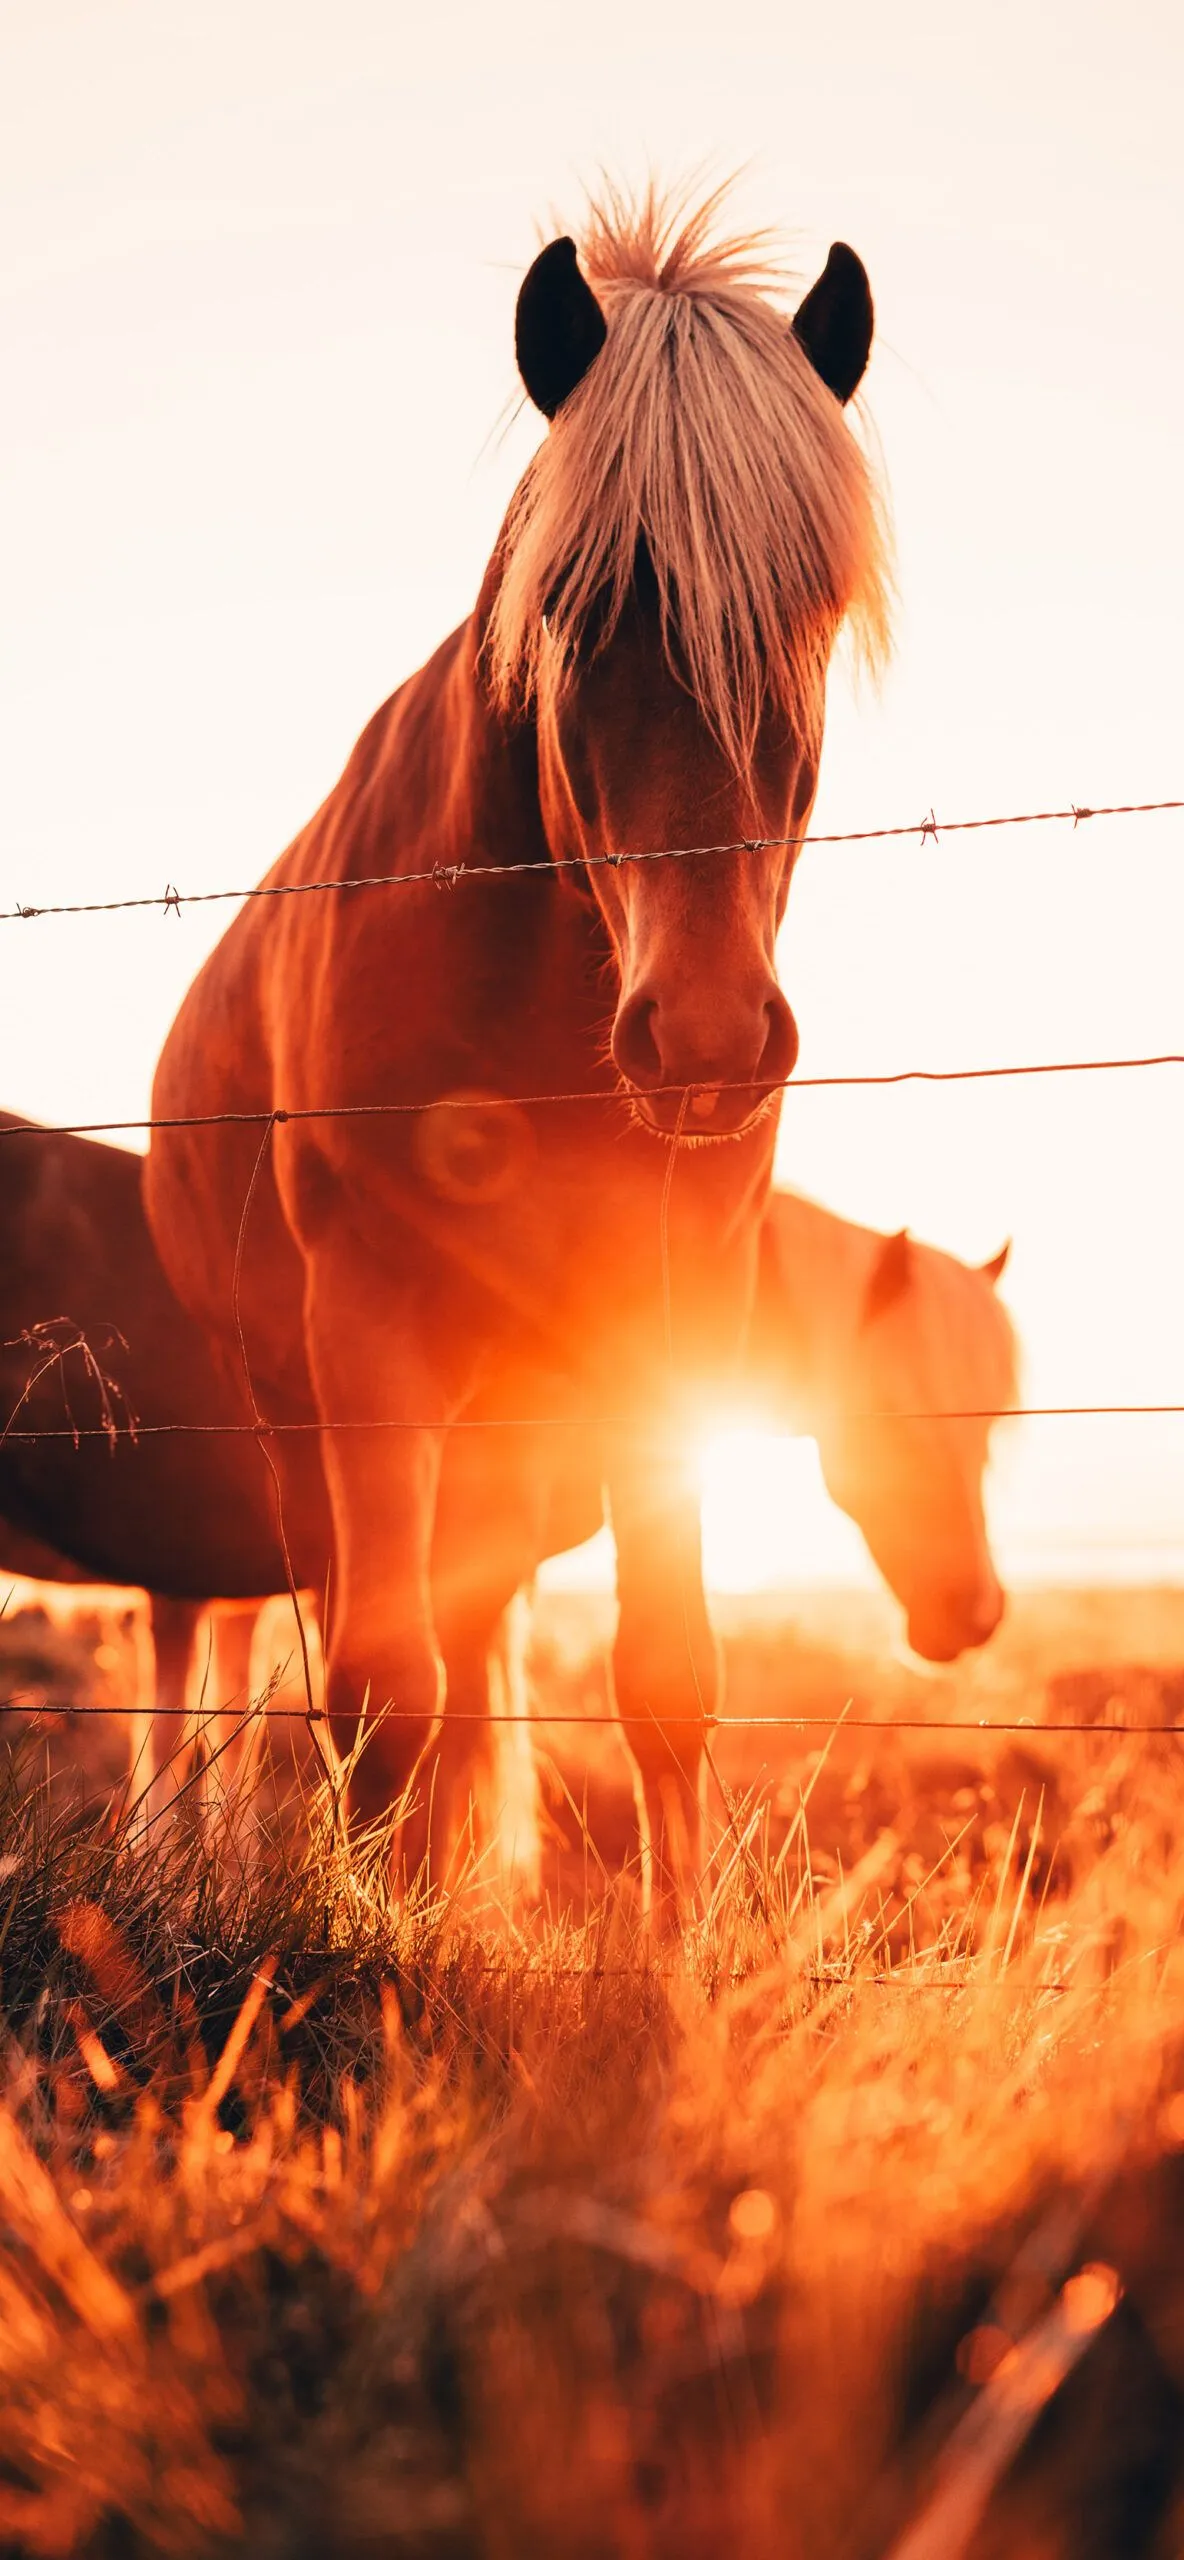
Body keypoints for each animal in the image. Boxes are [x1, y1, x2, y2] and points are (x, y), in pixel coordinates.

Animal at [142, 181, 891, 1886]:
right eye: (572, 607)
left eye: (809, 613)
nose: (704, 1035)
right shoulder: (366, 1331)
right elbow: (374, 1695)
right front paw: (376, 1933)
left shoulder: (664, 1330)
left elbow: (666, 1676)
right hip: (303, 1417)